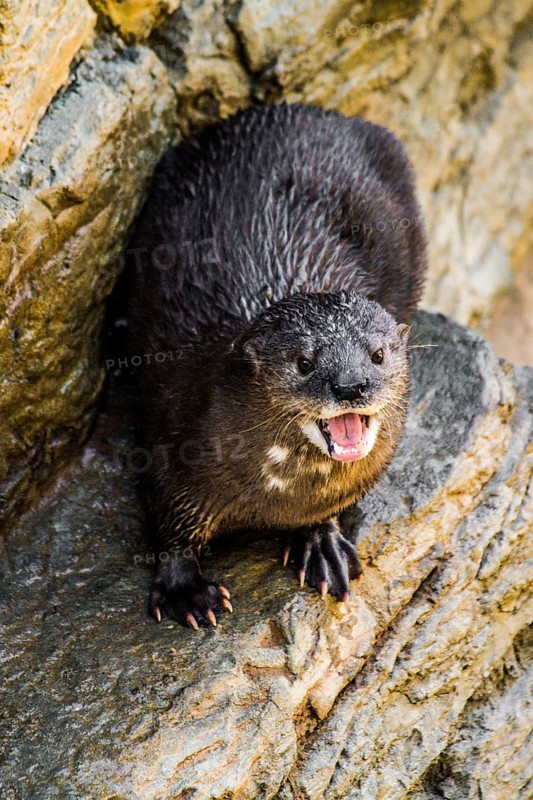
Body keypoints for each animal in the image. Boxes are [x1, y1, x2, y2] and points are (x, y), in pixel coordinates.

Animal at [127, 103, 427, 628]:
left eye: (377, 354)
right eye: (304, 361)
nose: (352, 385)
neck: (280, 495)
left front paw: (321, 543)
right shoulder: (169, 454)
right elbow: (169, 526)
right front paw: (186, 590)